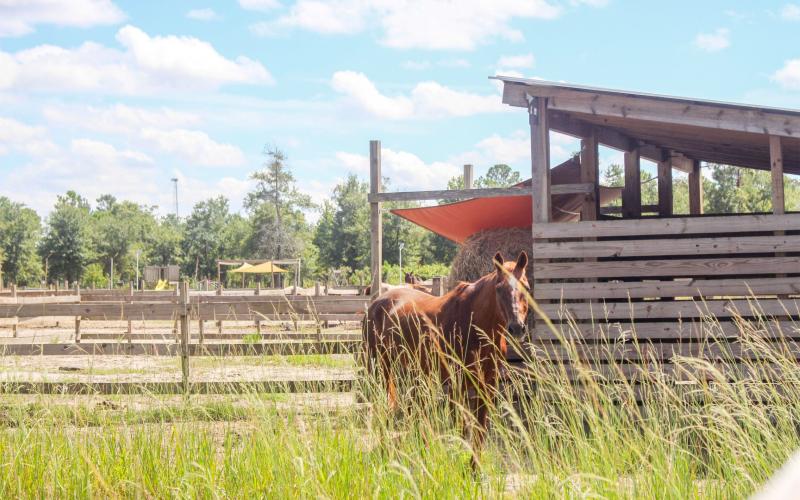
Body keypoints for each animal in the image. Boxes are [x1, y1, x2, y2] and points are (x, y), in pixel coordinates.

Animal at [362, 251, 529, 468]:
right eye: (499, 288)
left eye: (526, 287)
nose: (517, 327)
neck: (475, 324)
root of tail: (376, 303)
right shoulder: (457, 385)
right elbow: (462, 427)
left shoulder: (487, 385)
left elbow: (480, 429)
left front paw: (475, 467)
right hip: (380, 369)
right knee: (383, 407)